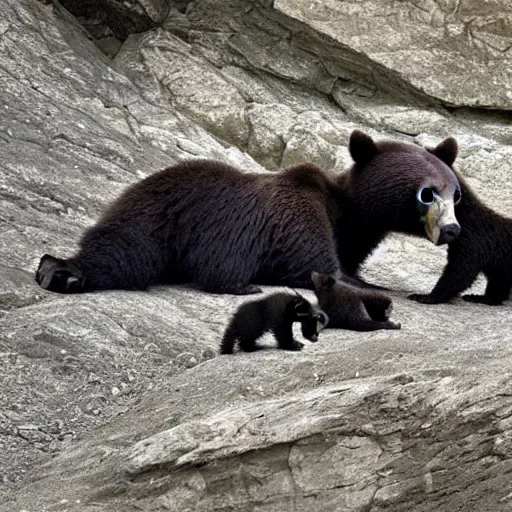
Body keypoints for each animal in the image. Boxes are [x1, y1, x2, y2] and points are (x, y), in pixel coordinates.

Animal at [34, 130, 462, 294]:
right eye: (427, 193)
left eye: (455, 192)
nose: (452, 229)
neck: (345, 212)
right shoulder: (296, 212)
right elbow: (316, 262)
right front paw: (363, 284)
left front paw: (362, 276)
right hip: (162, 207)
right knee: (127, 249)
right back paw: (63, 270)